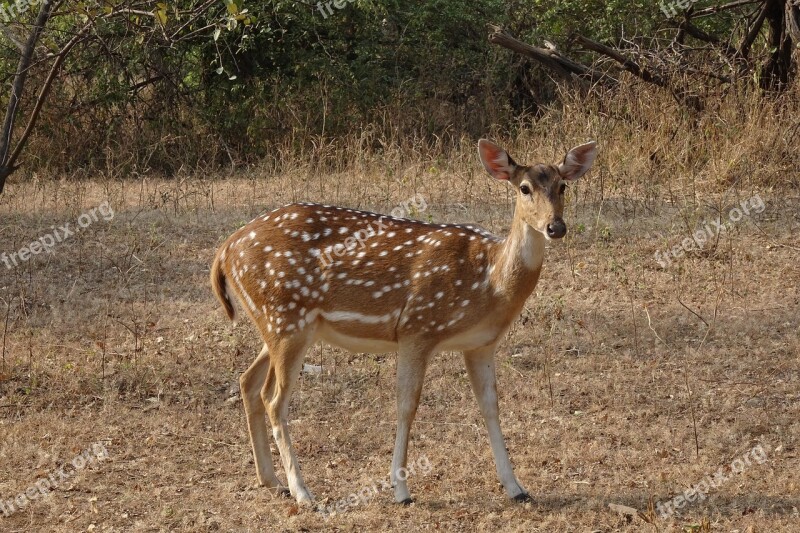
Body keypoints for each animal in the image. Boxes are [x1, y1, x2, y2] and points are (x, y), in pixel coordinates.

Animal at [209, 137, 596, 502]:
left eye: (563, 186)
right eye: (524, 188)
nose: (555, 226)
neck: (489, 281)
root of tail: (225, 250)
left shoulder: (481, 344)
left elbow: (490, 406)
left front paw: (516, 488)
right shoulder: (418, 327)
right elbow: (406, 405)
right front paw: (401, 491)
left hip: (280, 325)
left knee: (247, 382)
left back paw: (271, 480)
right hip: (286, 319)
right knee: (274, 399)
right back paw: (303, 491)